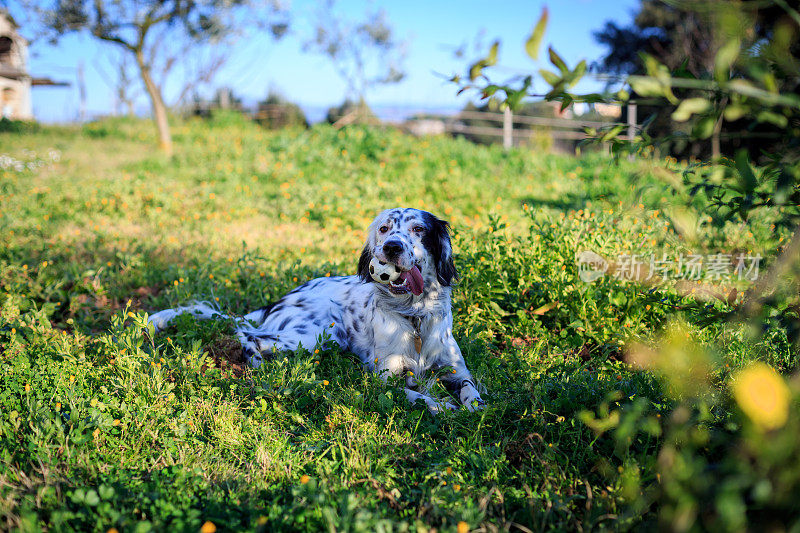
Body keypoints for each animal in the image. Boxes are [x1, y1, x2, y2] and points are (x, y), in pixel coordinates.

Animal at [150, 207, 488, 412]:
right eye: (384, 228)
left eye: (419, 229)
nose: (392, 247)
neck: (414, 316)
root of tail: (282, 298)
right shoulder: (382, 377)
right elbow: (415, 395)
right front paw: (442, 406)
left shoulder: (456, 368)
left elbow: (471, 389)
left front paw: (474, 406)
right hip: (318, 334)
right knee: (246, 335)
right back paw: (258, 366)